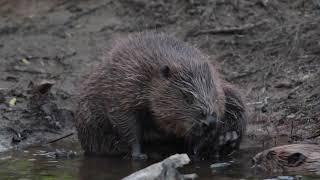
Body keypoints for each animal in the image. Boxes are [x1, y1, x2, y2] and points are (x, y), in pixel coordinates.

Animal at [75, 32, 248, 160]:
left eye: (214, 95)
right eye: (187, 97)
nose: (209, 121)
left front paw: (203, 144)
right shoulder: (125, 85)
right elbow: (124, 120)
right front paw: (138, 154)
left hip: (234, 95)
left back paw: (227, 140)